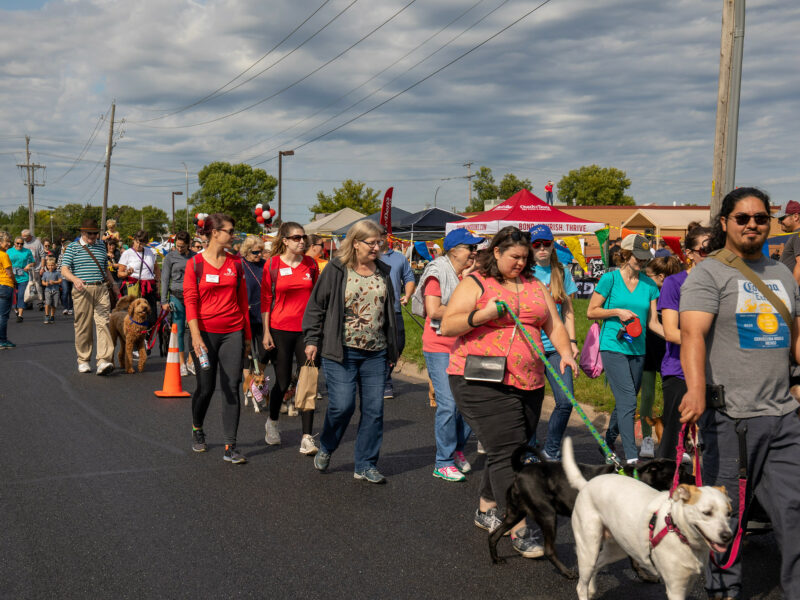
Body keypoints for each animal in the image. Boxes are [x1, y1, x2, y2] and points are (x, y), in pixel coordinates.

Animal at [488, 442, 692, 580]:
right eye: (680, 472)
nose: (695, 480)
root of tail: (520, 471)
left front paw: (644, 576)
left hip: (516, 513)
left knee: (493, 535)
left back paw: (496, 559)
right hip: (547, 515)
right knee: (548, 550)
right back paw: (567, 573)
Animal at [564, 436, 732, 600]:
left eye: (729, 514)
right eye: (707, 512)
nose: (728, 536)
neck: (677, 530)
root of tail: (586, 485)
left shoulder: (688, 584)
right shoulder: (675, 589)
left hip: (618, 548)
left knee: (597, 566)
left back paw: (591, 589)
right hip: (588, 548)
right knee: (581, 585)